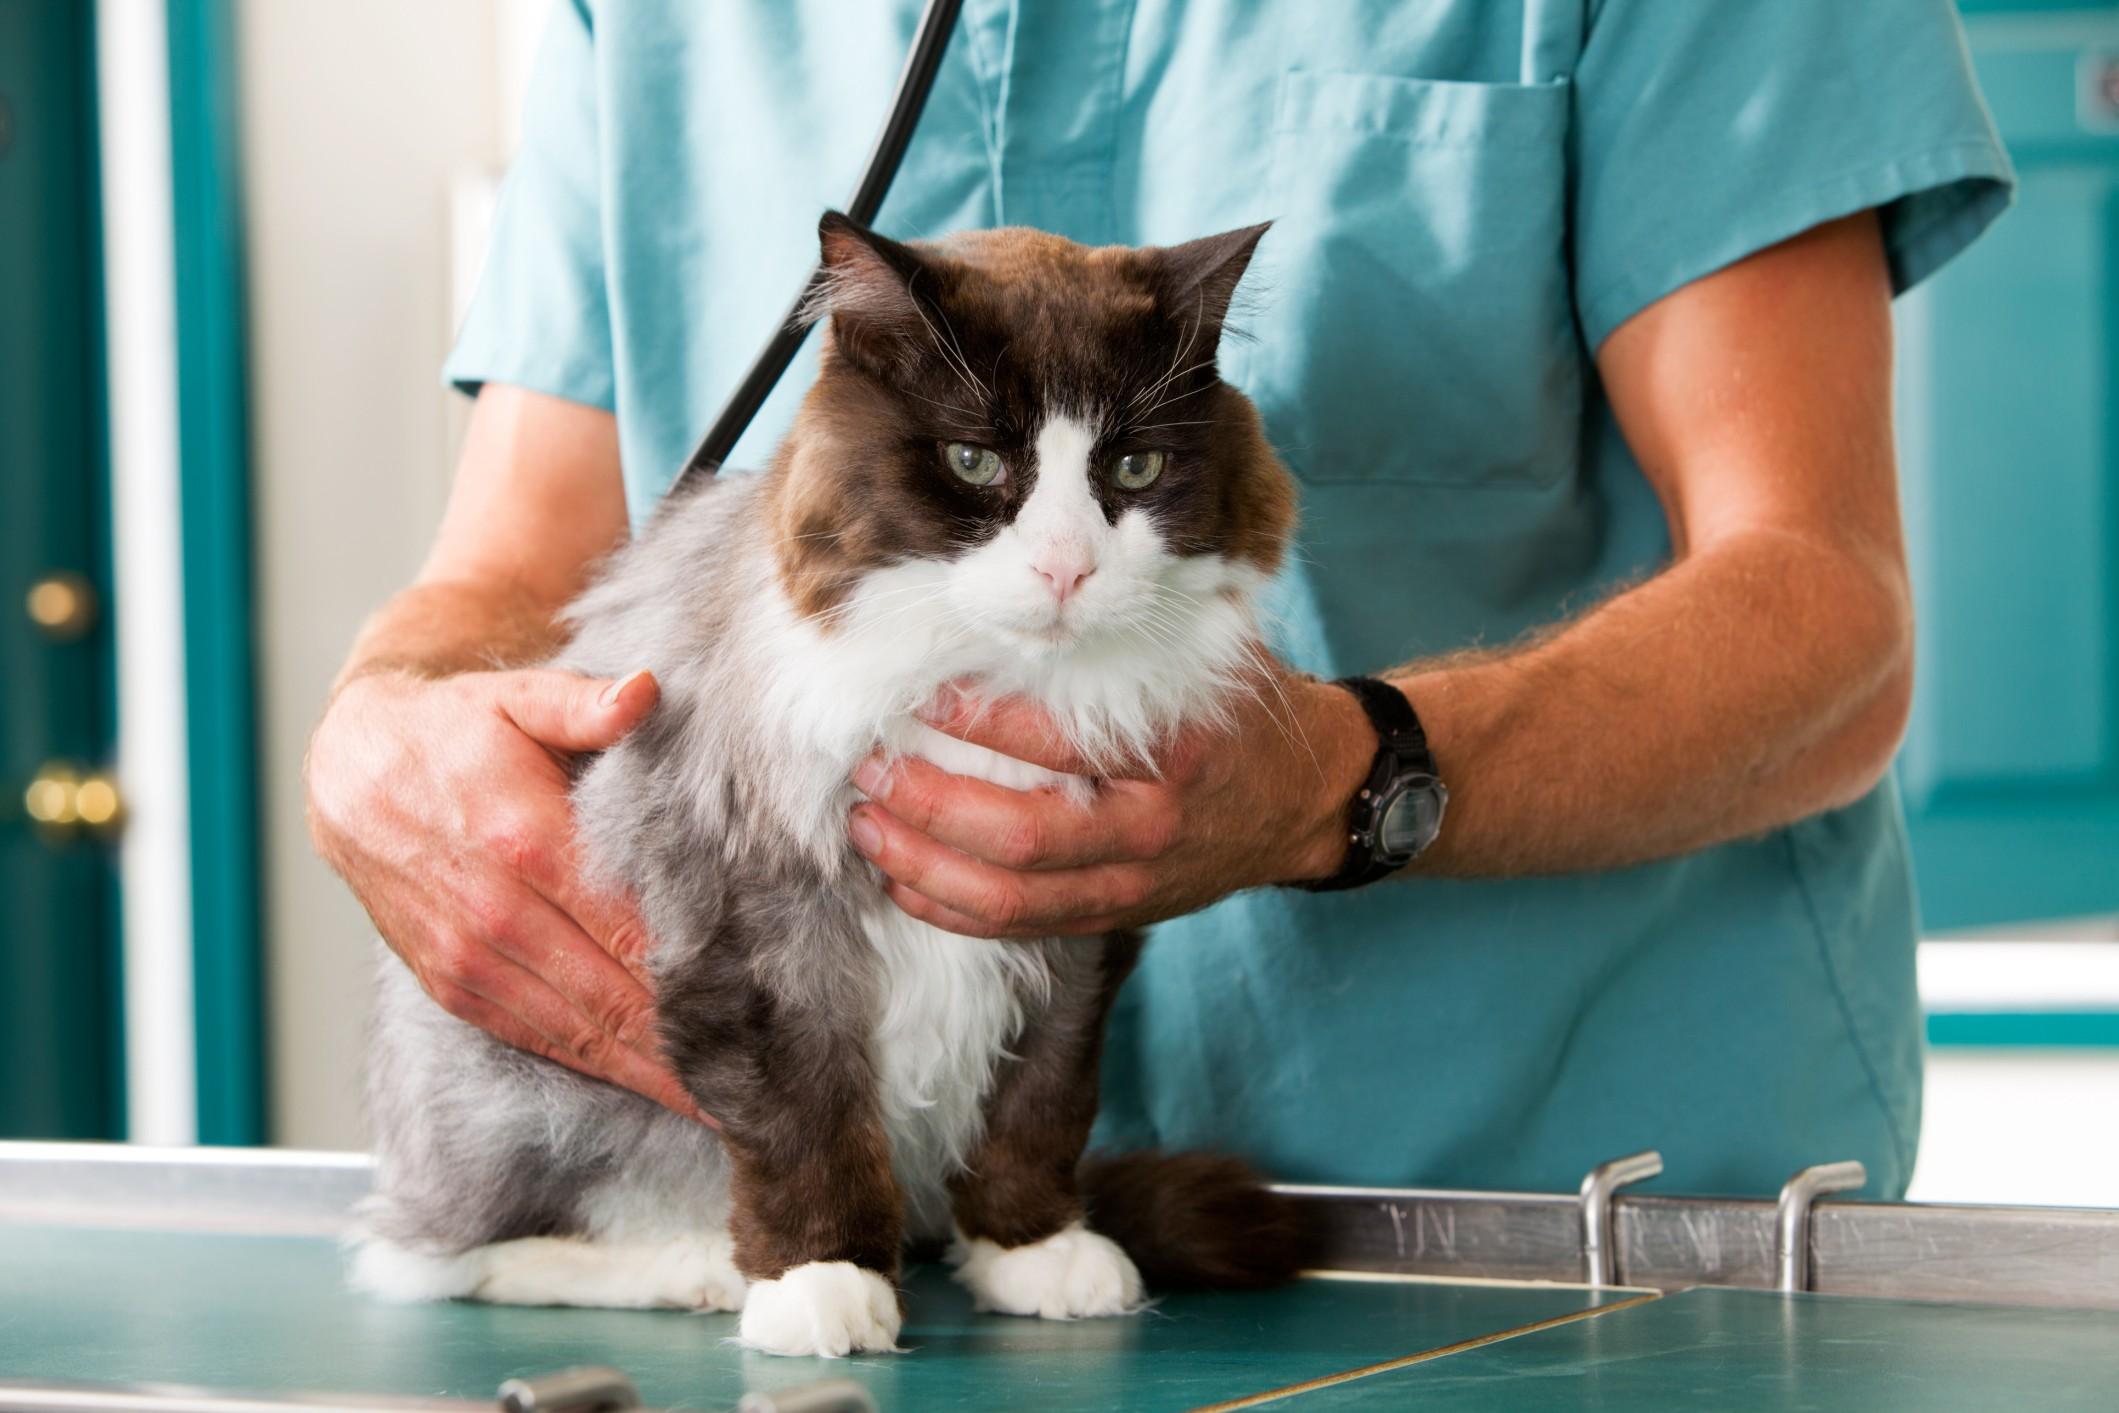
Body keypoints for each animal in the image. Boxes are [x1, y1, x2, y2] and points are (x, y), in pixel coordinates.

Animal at [349, 209, 1305, 1355]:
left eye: (1134, 467)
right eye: (973, 461)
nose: (1066, 569)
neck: (989, 682)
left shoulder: (1075, 929)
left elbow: (1038, 1105)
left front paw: (1031, 1248)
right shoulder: (759, 929)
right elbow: (805, 1123)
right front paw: (822, 1283)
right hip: (524, 1096)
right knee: (438, 1257)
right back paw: (693, 1268)